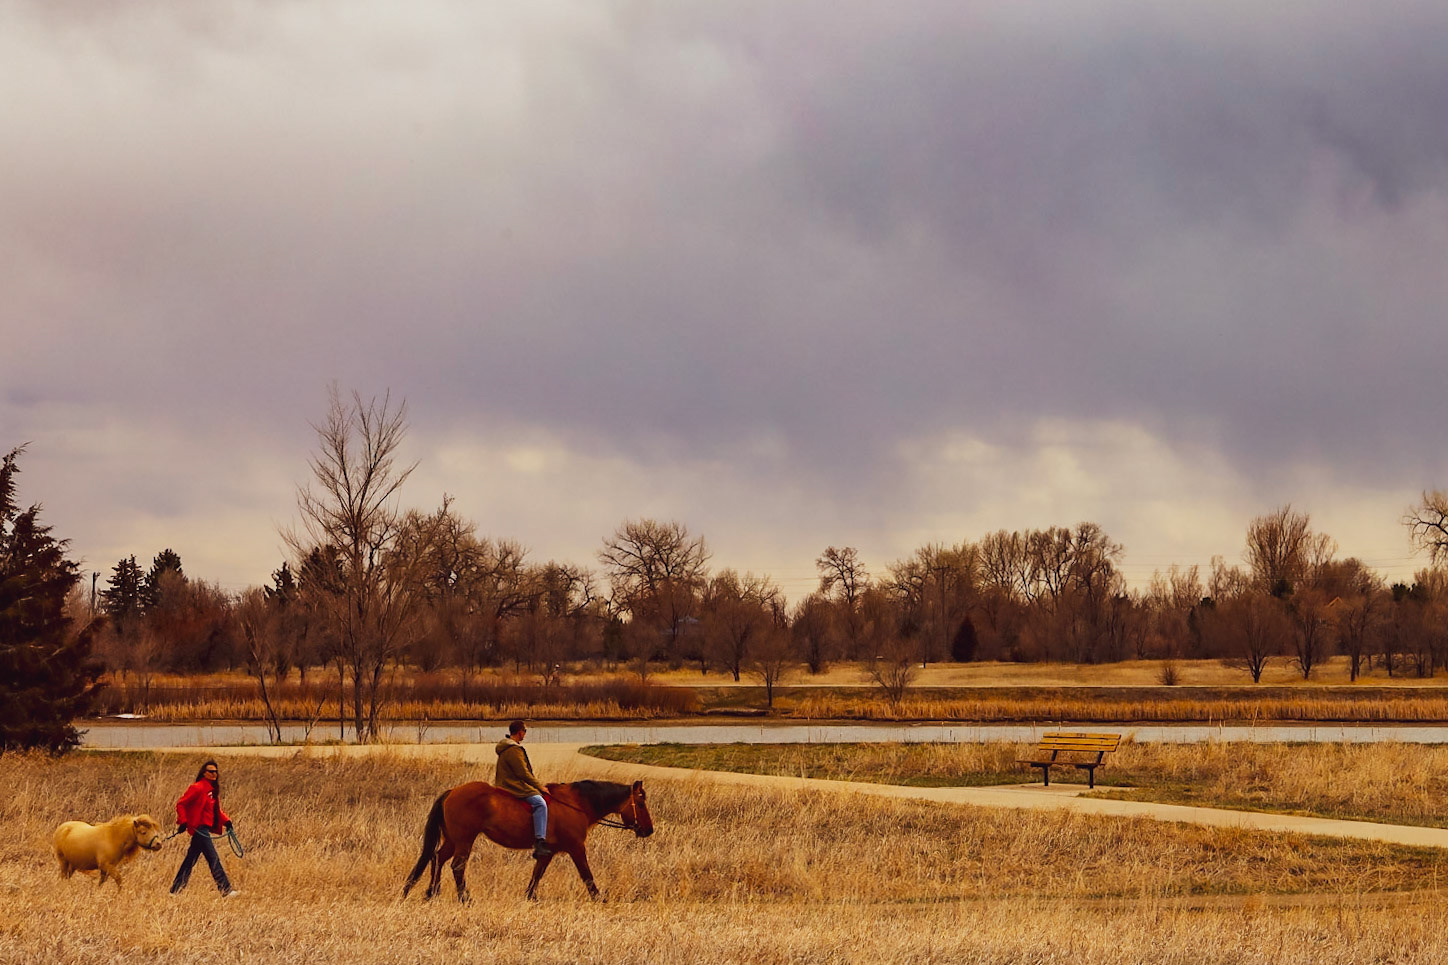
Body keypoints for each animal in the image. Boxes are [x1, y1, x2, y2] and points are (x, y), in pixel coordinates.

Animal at [402, 779, 653, 902]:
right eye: (640, 803)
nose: (649, 830)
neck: (576, 803)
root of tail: (452, 792)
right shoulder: (576, 848)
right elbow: (587, 875)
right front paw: (599, 898)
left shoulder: (548, 852)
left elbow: (537, 874)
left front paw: (530, 897)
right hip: (464, 840)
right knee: (457, 866)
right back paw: (464, 897)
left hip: (452, 840)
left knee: (437, 858)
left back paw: (432, 892)